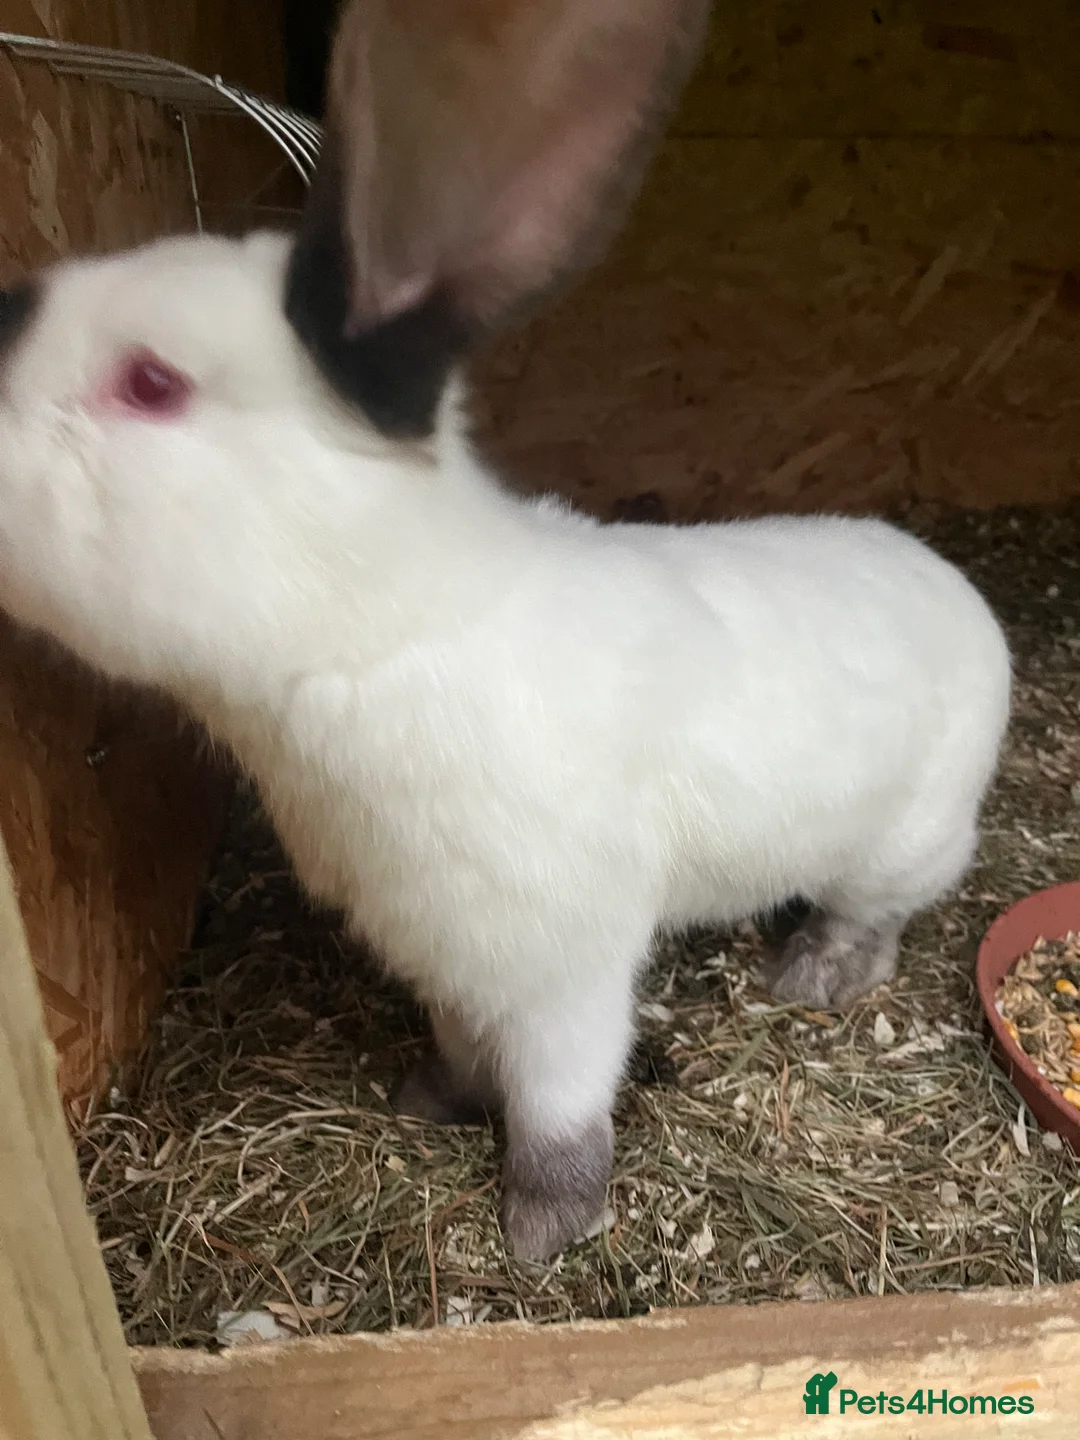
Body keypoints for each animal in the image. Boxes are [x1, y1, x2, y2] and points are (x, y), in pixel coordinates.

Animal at [0, 227, 1010, 1263]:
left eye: (152, 383)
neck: (386, 636)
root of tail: (959, 591)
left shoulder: (562, 969)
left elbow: (560, 1099)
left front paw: (541, 1230)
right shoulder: (443, 949)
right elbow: (462, 1047)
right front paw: (430, 1102)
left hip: (908, 841)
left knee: (879, 917)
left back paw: (815, 973)